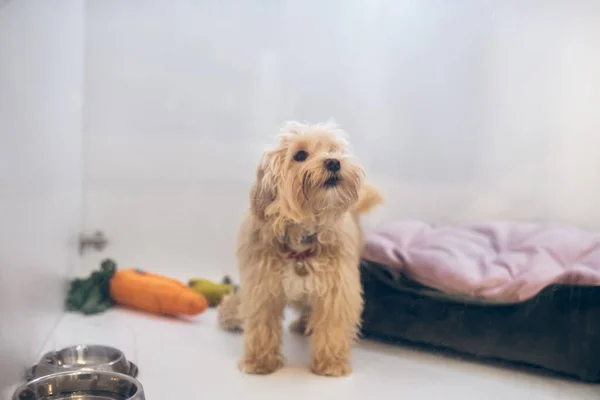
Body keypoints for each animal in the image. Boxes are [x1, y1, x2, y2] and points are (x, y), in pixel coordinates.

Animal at [218, 120, 382, 376]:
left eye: (333, 150)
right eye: (300, 155)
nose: (334, 162)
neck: (301, 238)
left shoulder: (336, 289)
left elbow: (332, 328)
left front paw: (330, 364)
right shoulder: (261, 287)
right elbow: (261, 325)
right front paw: (260, 362)